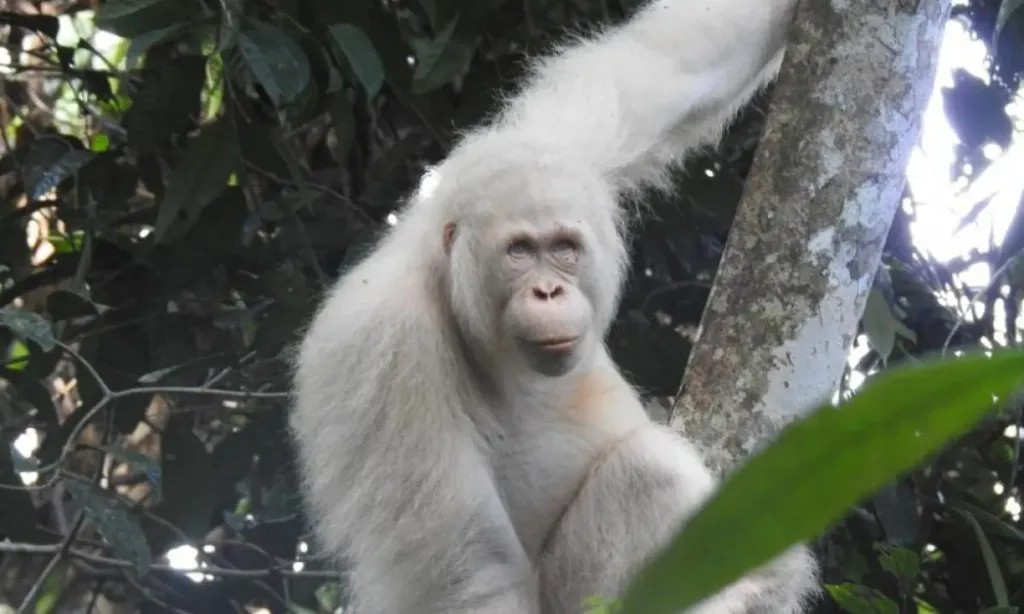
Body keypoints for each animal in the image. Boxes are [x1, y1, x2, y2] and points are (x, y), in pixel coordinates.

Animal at [289, 0, 820, 613]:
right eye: (520, 252)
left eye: (564, 248)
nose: (548, 291)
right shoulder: (382, 350)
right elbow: (474, 571)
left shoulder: (566, 146)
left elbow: (666, 68)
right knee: (647, 471)